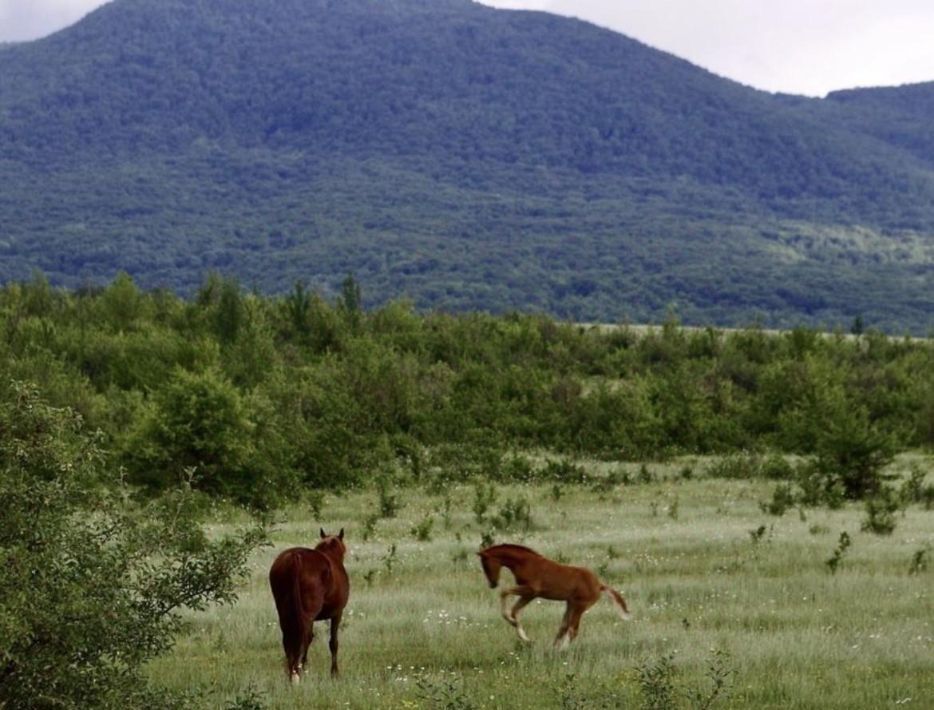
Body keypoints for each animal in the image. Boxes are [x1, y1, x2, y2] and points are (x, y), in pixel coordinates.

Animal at [270, 528, 352, 684]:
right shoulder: (337, 613)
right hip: (307, 614)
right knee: (304, 636)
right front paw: (334, 673)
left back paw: (292, 673)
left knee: (289, 638)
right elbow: (333, 643)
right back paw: (298, 671)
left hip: (284, 612)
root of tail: (295, 557)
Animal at [478, 544, 632, 652]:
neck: (525, 562)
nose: (492, 584)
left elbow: (504, 594)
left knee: (572, 629)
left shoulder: (531, 591)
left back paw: (561, 651)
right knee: (564, 627)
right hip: (570, 603)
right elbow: (515, 612)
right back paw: (553, 649)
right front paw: (526, 638)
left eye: (485, 564)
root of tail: (599, 585)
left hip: (580, 606)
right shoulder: (529, 594)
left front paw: (522, 635)